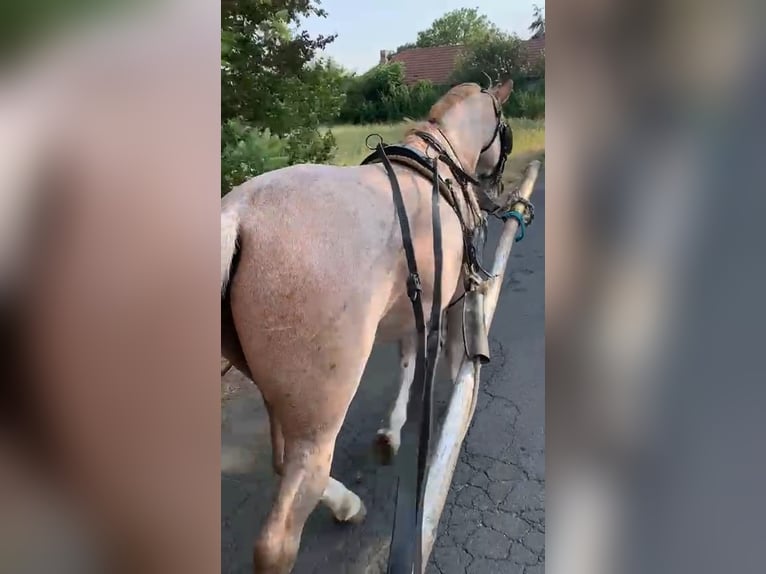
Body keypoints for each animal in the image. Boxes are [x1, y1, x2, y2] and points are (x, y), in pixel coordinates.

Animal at [222, 79, 516, 572]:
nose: (493, 183)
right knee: (282, 526)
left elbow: (408, 359)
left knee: (283, 462)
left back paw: (346, 504)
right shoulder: (451, 296)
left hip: (277, 394)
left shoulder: (415, 303)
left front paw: (390, 432)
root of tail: (237, 217)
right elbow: (448, 353)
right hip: (321, 409)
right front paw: (454, 400)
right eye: (504, 129)